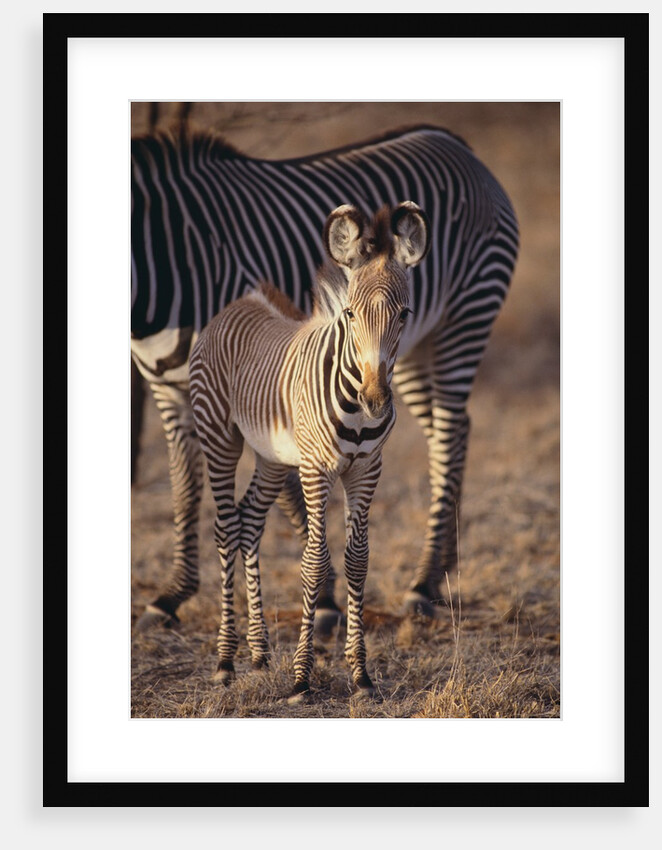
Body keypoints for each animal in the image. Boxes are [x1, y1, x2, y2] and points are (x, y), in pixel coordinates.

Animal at [131, 122, 519, 631]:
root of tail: (455, 143)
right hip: (415, 354)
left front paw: (329, 598)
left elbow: (289, 493)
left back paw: (423, 582)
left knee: (450, 435)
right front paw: (173, 593)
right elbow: (184, 488)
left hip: (465, 318)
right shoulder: (173, 390)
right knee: (450, 430)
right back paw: (442, 570)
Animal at [189, 202, 430, 700]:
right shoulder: (317, 470)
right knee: (225, 528)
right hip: (219, 437)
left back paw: (259, 654)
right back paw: (225, 661)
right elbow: (315, 561)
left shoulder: (366, 469)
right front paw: (302, 676)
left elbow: (358, 560)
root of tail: (241, 301)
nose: (376, 400)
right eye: (352, 314)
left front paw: (360, 674)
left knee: (249, 522)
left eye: (404, 314)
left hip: (271, 457)